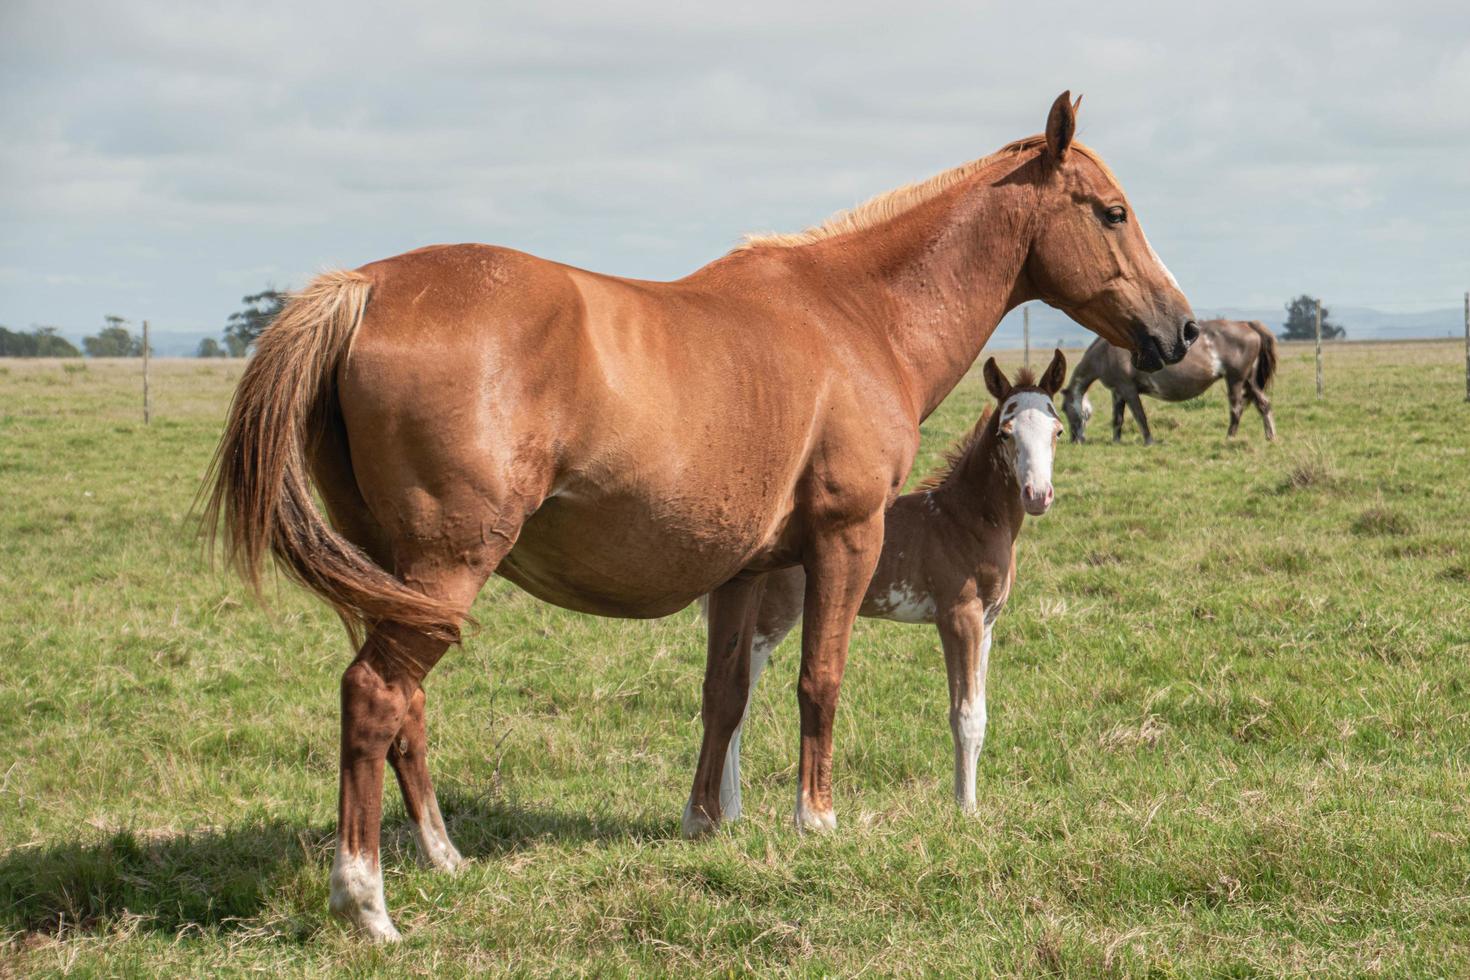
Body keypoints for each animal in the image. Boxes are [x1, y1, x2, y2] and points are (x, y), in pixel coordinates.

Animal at [690, 352, 1070, 828]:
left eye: (1057, 430)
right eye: (1006, 432)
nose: (1037, 495)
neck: (964, 519)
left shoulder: (987, 623)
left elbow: (981, 714)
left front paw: (971, 803)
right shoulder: (958, 617)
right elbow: (964, 715)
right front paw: (965, 811)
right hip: (770, 618)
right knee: (738, 702)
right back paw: (730, 812)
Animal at [1058, 318, 1275, 443]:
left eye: (1064, 409)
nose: (1075, 440)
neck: (1106, 352)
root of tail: (1246, 324)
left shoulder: (1128, 390)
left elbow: (1140, 416)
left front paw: (1148, 441)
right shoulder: (1117, 392)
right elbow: (1117, 419)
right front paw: (1116, 441)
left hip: (1235, 379)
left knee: (1236, 409)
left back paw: (1229, 437)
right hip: (1249, 380)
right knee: (1264, 404)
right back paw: (1270, 436)